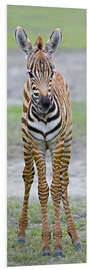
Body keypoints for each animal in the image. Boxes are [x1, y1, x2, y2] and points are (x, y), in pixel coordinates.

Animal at [15, 26, 81, 256]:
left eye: (50, 73)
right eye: (30, 74)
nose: (44, 103)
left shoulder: (58, 144)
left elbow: (57, 188)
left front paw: (59, 242)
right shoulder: (36, 145)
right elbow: (43, 190)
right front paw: (46, 243)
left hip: (67, 141)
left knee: (64, 181)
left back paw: (74, 235)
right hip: (26, 142)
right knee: (28, 176)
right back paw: (21, 233)